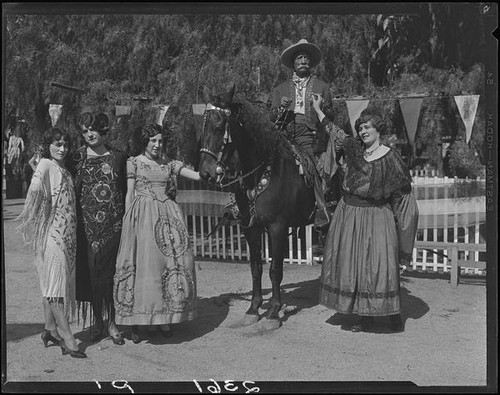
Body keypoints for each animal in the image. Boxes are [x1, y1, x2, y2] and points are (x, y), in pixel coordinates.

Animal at [198, 84, 316, 332]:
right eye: (203, 127)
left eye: (219, 126)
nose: (206, 173)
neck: (262, 172)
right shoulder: (250, 227)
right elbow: (255, 268)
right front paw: (253, 309)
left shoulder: (277, 228)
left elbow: (275, 270)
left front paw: (273, 312)